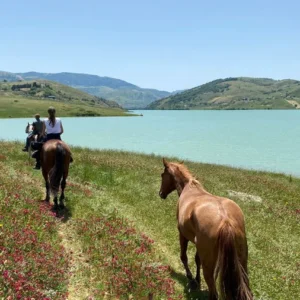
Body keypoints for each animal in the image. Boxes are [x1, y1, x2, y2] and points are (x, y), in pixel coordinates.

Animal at [158, 158, 252, 298]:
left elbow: (184, 257)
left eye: (162, 175)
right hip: (241, 262)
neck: (190, 188)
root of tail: (225, 220)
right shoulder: (198, 244)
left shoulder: (182, 234)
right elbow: (197, 260)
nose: (161, 194)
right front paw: (197, 279)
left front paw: (191, 278)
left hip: (209, 266)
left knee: (213, 292)